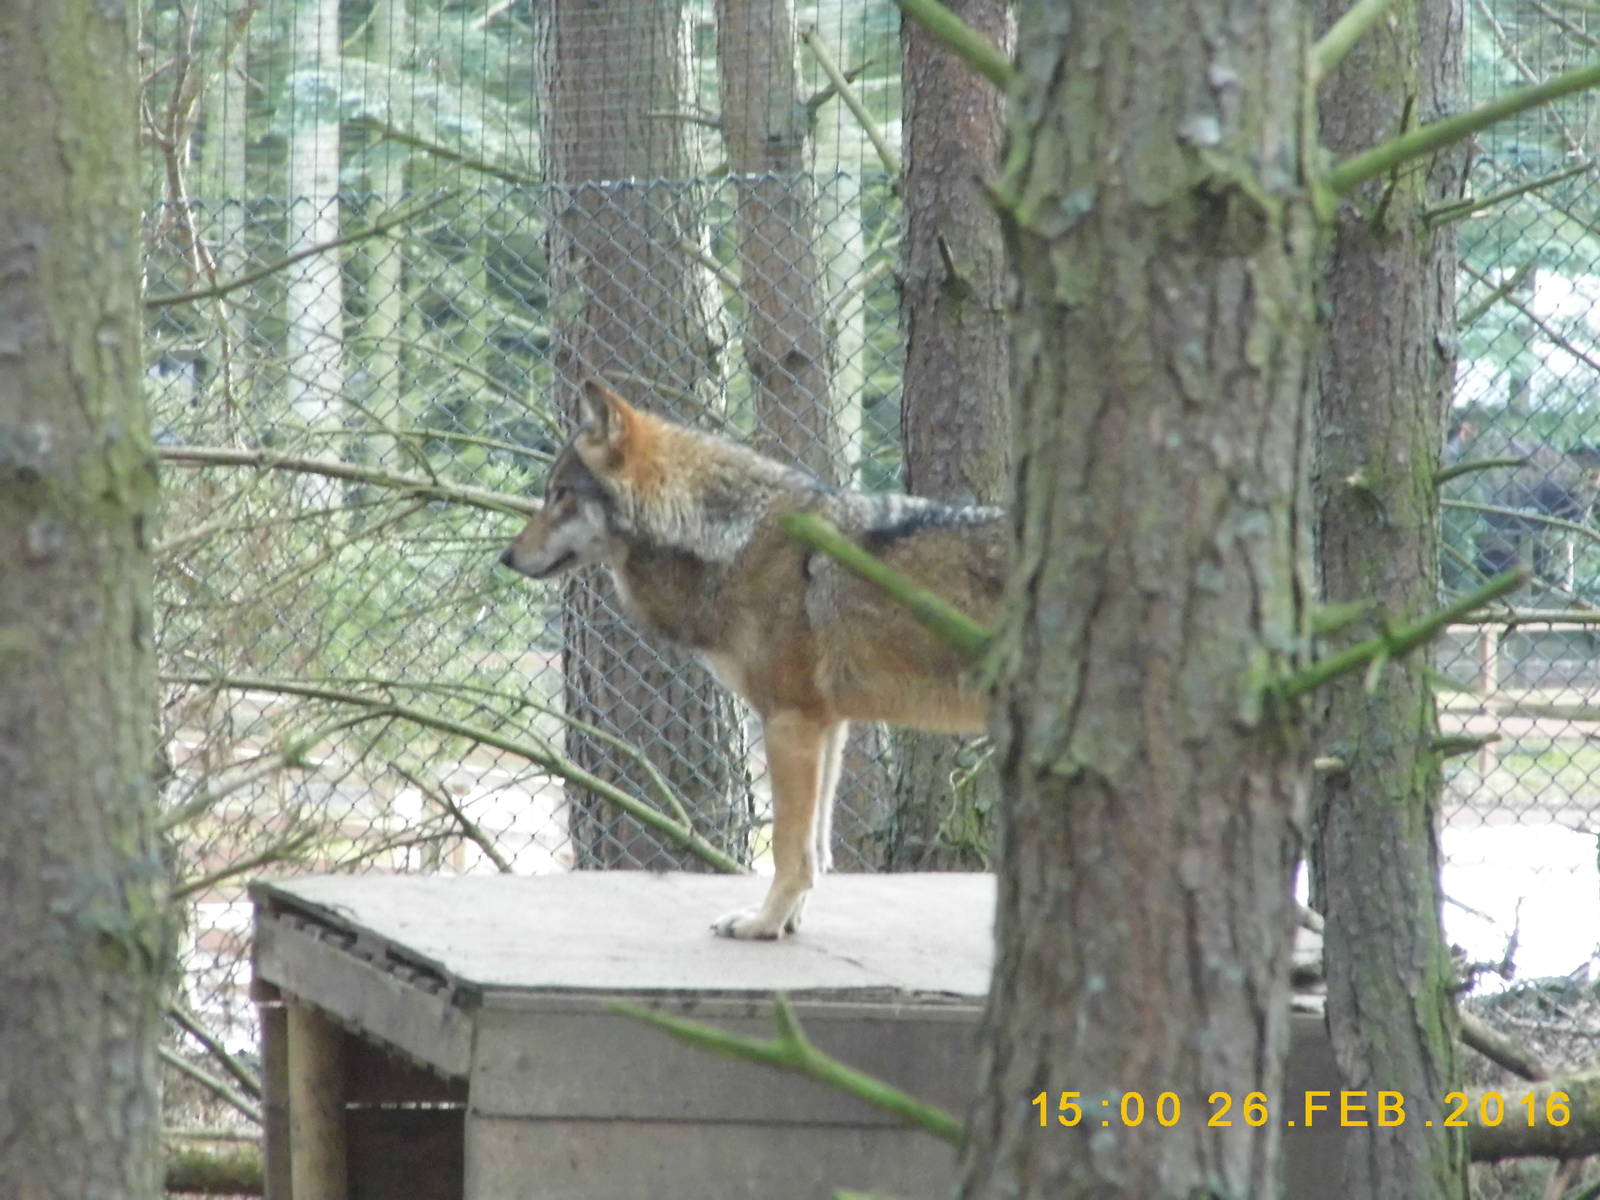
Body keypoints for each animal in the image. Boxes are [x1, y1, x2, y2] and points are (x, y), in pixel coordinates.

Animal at [500, 379, 1008, 939]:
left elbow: (790, 850)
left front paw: (763, 923)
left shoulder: (790, 721)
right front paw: (788, 922)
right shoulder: (829, 725)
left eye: (560, 495)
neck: (729, 540)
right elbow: (817, 849)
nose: (506, 558)